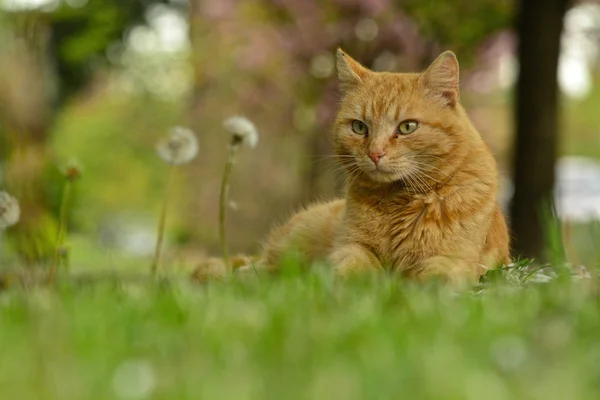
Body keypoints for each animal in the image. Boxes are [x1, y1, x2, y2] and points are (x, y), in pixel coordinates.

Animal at [195, 50, 508, 286]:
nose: (375, 153)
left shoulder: (456, 259)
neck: (399, 201)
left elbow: (435, 277)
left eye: (407, 127)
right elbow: (352, 263)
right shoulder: (350, 246)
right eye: (359, 127)